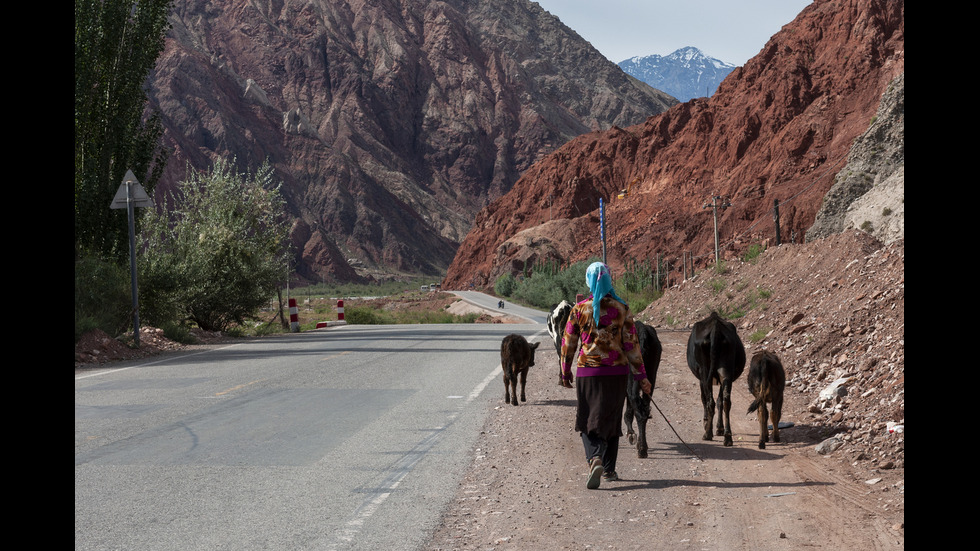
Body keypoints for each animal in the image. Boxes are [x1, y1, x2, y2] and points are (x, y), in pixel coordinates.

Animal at [684, 312, 748, 446]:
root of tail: (715, 326)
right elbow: (720, 401)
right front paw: (720, 428)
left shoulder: (701, 378)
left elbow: (704, 399)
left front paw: (706, 422)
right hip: (726, 371)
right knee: (726, 401)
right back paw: (727, 437)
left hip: (705, 372)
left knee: (710, 402)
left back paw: (707, 433)